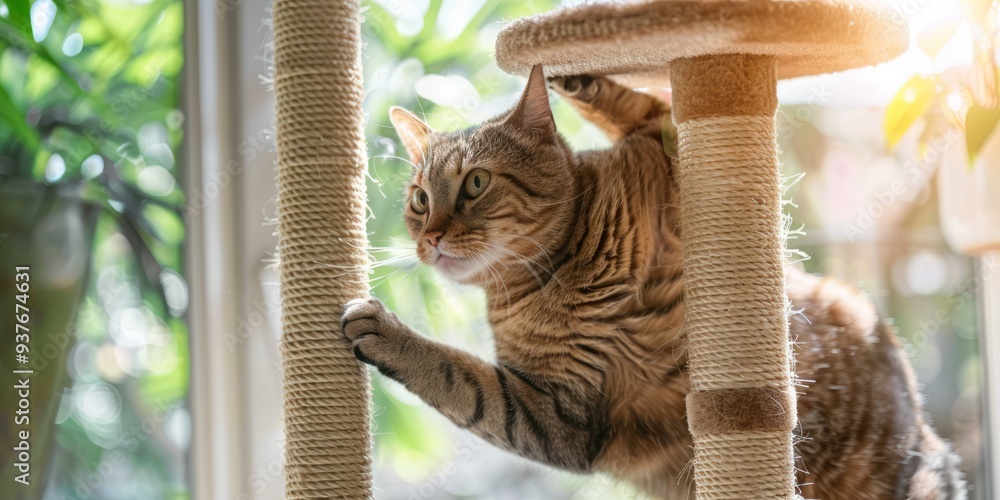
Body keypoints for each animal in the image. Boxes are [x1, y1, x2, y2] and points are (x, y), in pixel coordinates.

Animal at [340, 64, 964, 498]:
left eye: (474, 183)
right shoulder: (555, 411)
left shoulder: (674, 158)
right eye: (420, 199)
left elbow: (648, 105)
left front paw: (570, 63)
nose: (430, 237)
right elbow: (462, 379)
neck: (571, 262)